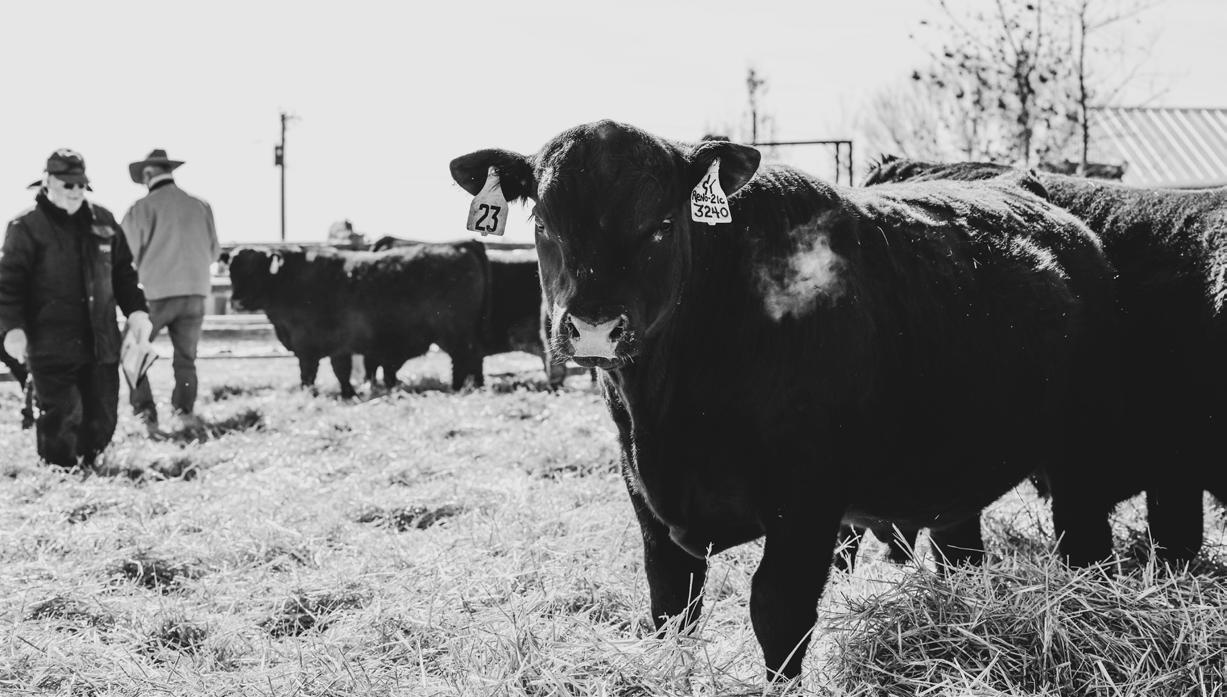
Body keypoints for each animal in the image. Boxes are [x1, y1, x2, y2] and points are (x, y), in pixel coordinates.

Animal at [224, 243, 489, 396]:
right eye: (231, 270)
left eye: (255, 269)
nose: (237, 301)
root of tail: (459, 246)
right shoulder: (332, 347)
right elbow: (334, 371)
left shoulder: (313, 345)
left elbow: (317, 372)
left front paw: (319, 393)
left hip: (454, 333)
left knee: (463, 358)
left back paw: (459, 387)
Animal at [451, 120, 1119, 682]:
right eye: (543, 224)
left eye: (662, 224)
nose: (593, 327)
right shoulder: (645, 499)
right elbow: (671, 607)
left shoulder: (806, 500)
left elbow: (777, 612)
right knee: (960, 549)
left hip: (1082, 451)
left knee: (1086, 544)